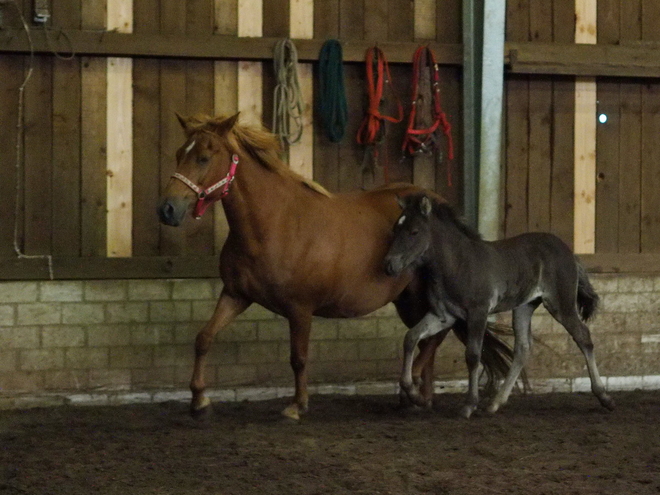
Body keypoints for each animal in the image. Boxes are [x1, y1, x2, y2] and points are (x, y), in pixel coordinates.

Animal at [159, 114, 510, 420]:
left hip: (419, 298)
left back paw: (413, 393)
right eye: (178, 154)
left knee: (434, 337)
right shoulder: (236, 295)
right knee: (427, 339)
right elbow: (204, 338)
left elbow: (298, 358)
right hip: (408, 300)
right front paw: (200, 402)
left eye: (204, 158)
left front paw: (297, 406)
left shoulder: (300, 308)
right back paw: (418, 397)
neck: (274, 223)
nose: (167, 209)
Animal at [384, 194, 616, 418]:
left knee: (583, 337)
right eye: (395, 229)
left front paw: (468, 405)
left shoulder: (478, 313)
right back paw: (494, 404)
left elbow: (472, 355)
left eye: (414, 231)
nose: (389, 265)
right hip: (524, 307)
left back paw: (605, 397)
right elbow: (410, 338)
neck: (457, 264)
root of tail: (568, 251)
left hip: (561, 305)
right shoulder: (443, 316)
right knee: (523, 348)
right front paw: (413, 394)